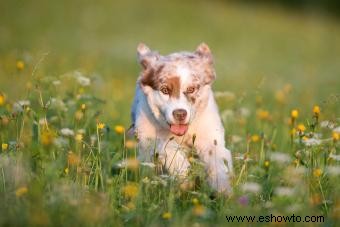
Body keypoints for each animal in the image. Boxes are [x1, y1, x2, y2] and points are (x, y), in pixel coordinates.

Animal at [131, 43, 234, 193]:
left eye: (191, 89)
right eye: (165, 90)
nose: (180, 114)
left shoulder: (210, 136)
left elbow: (217, 159)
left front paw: (222, 188)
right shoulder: (147, 135)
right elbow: (166, 145)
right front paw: (182, 170)